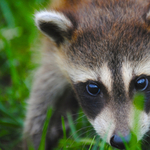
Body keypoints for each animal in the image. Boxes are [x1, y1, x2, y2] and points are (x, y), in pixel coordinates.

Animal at [24, 0, 150, 149]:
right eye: (93, 88)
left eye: (141, 83)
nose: (122, 140)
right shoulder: (53, 53)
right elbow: (43, 92)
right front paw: (36, 140)